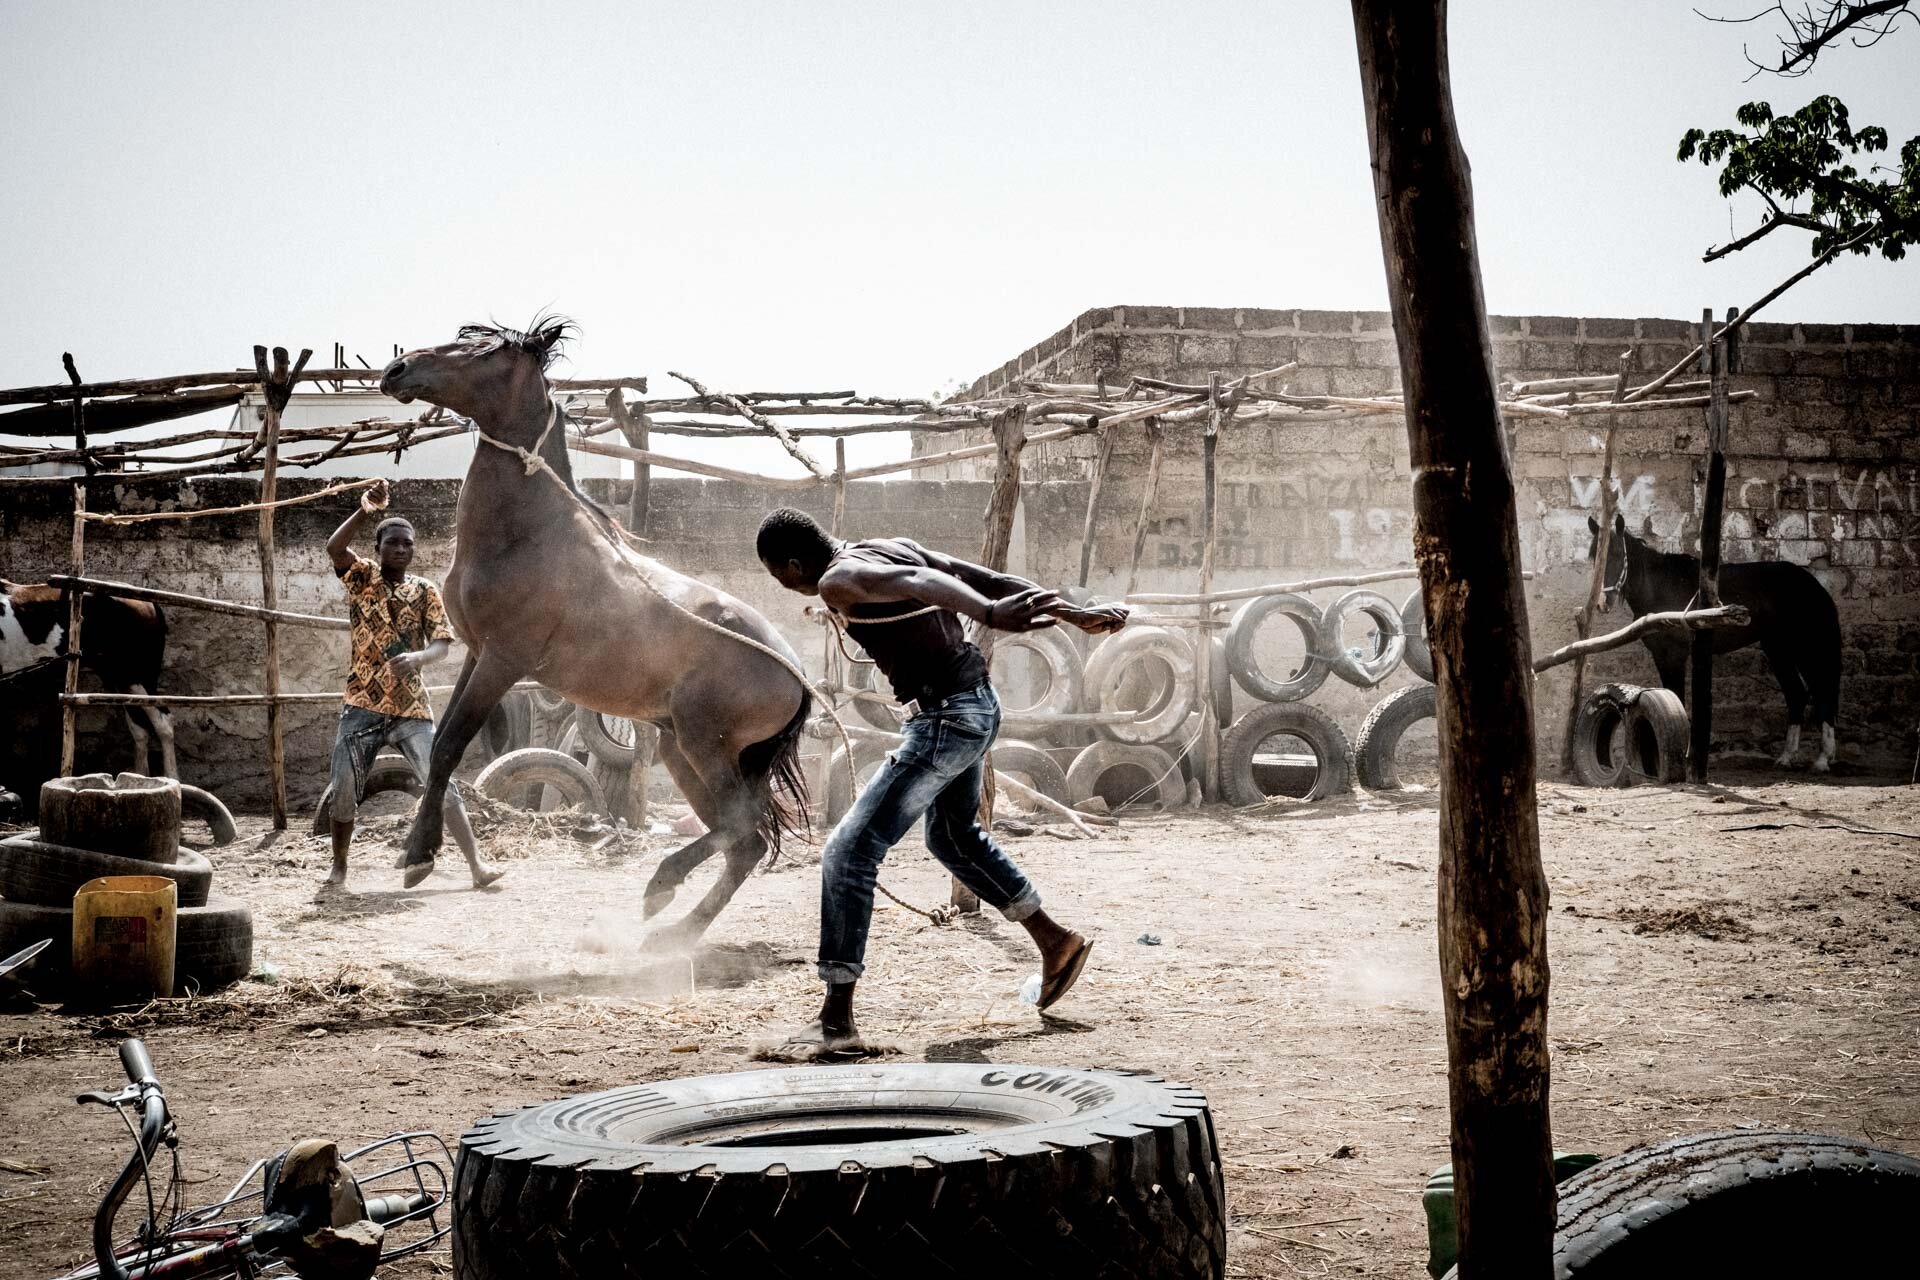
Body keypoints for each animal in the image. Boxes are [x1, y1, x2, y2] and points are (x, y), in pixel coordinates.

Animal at [382, 314, 810, 948]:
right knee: (742, 842)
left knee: (745, 830)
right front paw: (419, 850)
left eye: (482, 349)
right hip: (683, 750)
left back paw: (665, 900)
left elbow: (453, 746)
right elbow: (438, 751)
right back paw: (671, 919)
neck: (527, 535)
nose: (396, 369)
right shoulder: (475, 655)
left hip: (704, 746)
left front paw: (419, 857)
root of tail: (799, 676)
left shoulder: (503, 662)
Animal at [1582, 514, 1835, 775]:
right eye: (1595, 557)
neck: (1661, 588)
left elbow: (1677, 698)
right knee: (1796, 694)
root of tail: (1810, 583)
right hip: (1777, 648)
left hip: (1803, 647)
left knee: (1822, 691)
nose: (1603, 602)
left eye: (1616, 555)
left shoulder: (1675, 655)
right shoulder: (1661, 655)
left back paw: (1822, 760)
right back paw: (1786, 757)